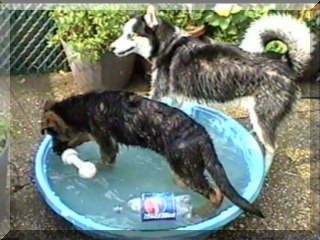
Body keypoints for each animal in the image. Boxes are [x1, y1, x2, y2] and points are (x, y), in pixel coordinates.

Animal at [41, 90, 264, 218]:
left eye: (54, 135)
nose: (54, 151)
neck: (84, 107)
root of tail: (202, 137)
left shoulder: (107, 145)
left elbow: (102, 163)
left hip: (188, 173)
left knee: (216, 194)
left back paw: (203, 214)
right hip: (183, 172)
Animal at [111, 7, 316, 171]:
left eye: (130, 35)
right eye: (122, 33)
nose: (111, 47)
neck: (168, 45)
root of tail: (286, 63)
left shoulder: (159, 96)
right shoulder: (176, 100)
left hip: (262, 116)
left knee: (272, 148)